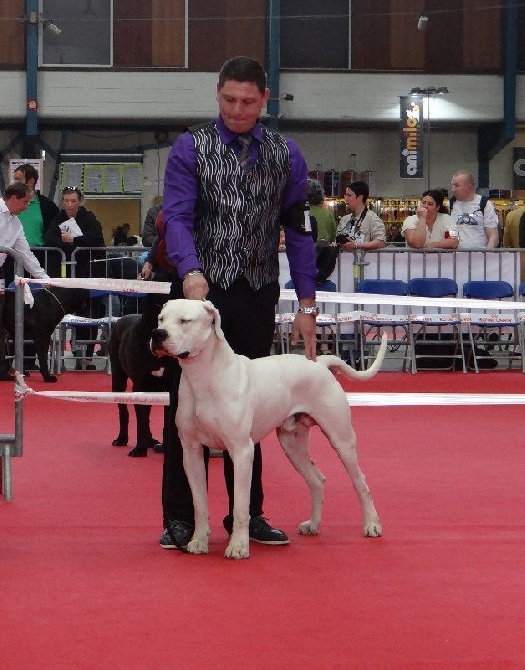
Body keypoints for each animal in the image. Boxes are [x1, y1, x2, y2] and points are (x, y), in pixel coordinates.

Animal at [108, 296, 172, 460]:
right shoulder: (140, 386)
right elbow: (141, 420)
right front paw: (140, 449)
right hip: (118, 378)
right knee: (124, 411)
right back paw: (122, 439)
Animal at [151, 300, 384, 560]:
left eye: (185, 320)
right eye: (161, 319)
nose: (158, 334)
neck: (203, 376)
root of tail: (319, 363)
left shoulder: (241, 451)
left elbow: (240, 505)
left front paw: (238, 546)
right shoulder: (191, 451)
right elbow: (199, 504)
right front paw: (198, 541)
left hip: (341, 438)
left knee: (360, 481)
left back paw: (372, 525)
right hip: (292, 445)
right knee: (317, 480)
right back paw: (313, 525)